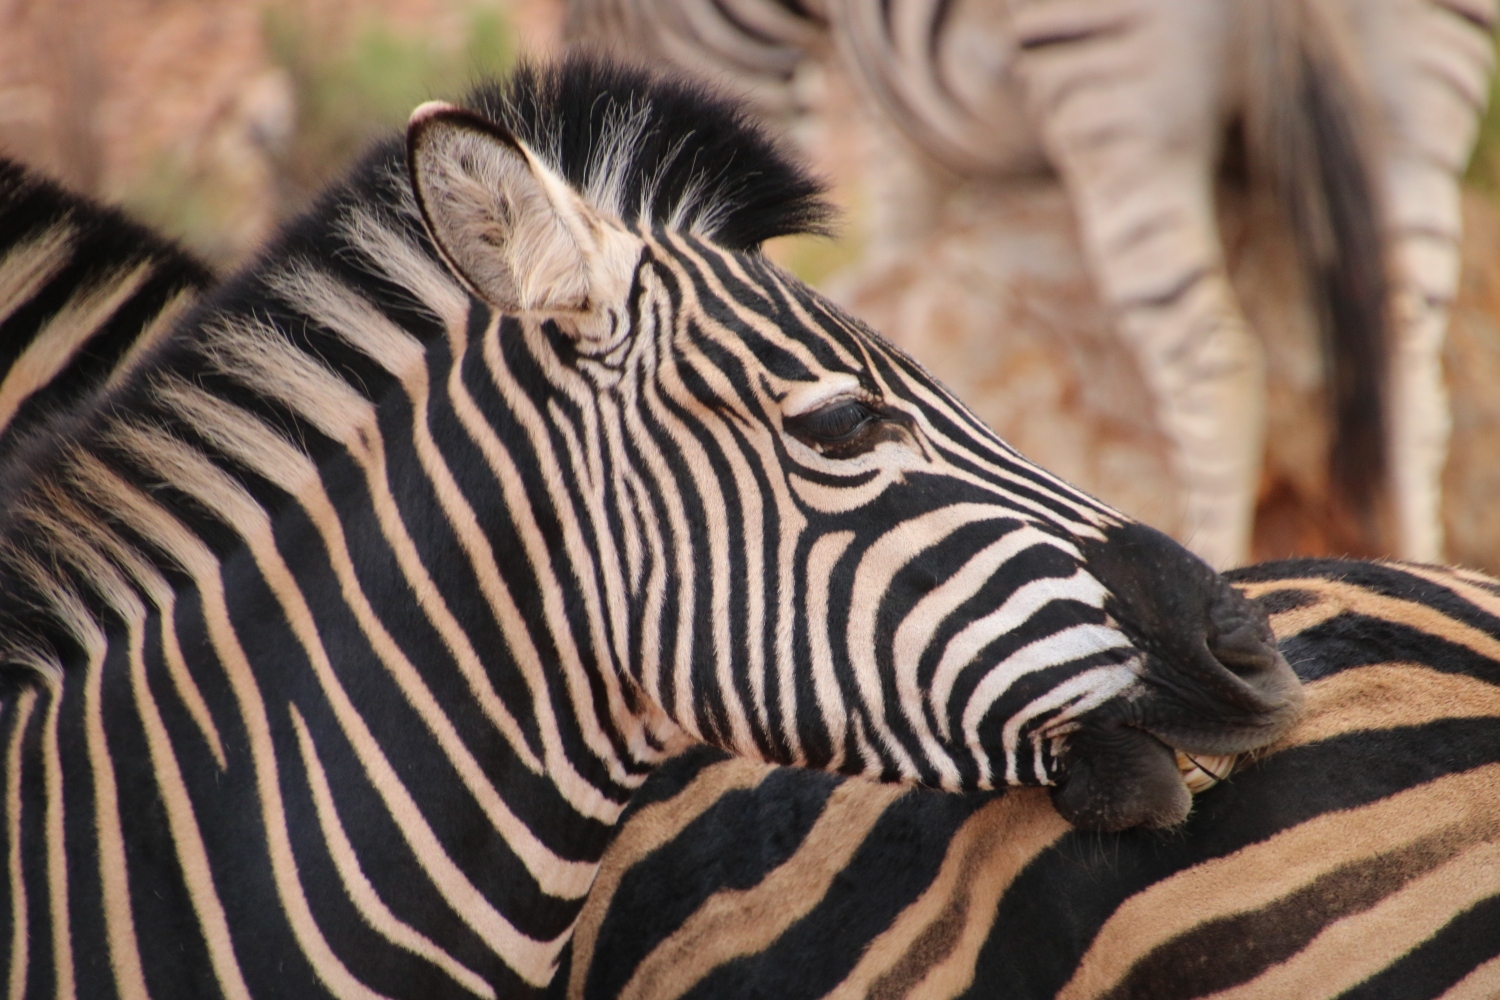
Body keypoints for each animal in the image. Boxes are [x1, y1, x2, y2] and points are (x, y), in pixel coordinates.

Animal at [564, 0, 1500, 566]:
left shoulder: (886, 104)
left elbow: (905, 213)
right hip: (1420, 86)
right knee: (1409, 359)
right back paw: (1416, 564)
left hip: (1111, 90)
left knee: (1217, 364)